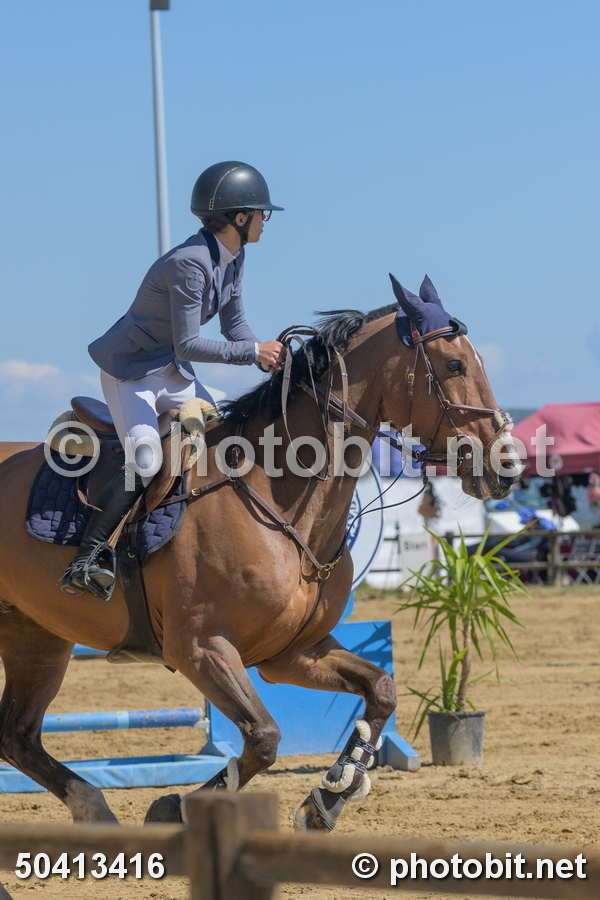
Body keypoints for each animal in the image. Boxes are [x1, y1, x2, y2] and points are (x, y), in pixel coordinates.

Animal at [0, 276, 519, 831]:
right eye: (455, 365)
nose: (505, 468)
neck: (275, 496)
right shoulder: (201, 648)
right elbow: (264, 738)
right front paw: (176, 806)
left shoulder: (292, 653)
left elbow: (380, 691)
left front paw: (326, 798)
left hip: (37, 634)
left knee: (18, 734)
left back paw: (92, 806)